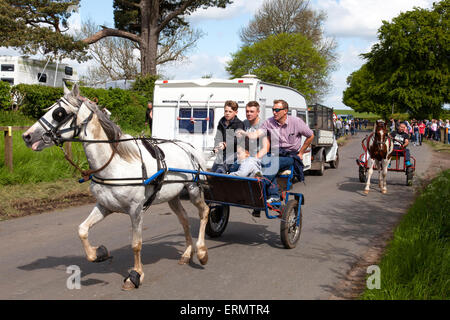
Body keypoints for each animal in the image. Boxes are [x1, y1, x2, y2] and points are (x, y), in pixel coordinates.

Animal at [22, 84, 210, 292]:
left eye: (59, 113)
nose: (27, 136)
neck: (114, 165)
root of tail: (189, 147)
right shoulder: (105, 206)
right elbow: (82, 230)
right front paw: (98, 253)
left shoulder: (136, 209)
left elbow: (136, 244)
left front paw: (135, 275)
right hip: (173, 196)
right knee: (184, 220)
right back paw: (187, 253)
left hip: (194, 190)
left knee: (204, 212)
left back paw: (201, 252)